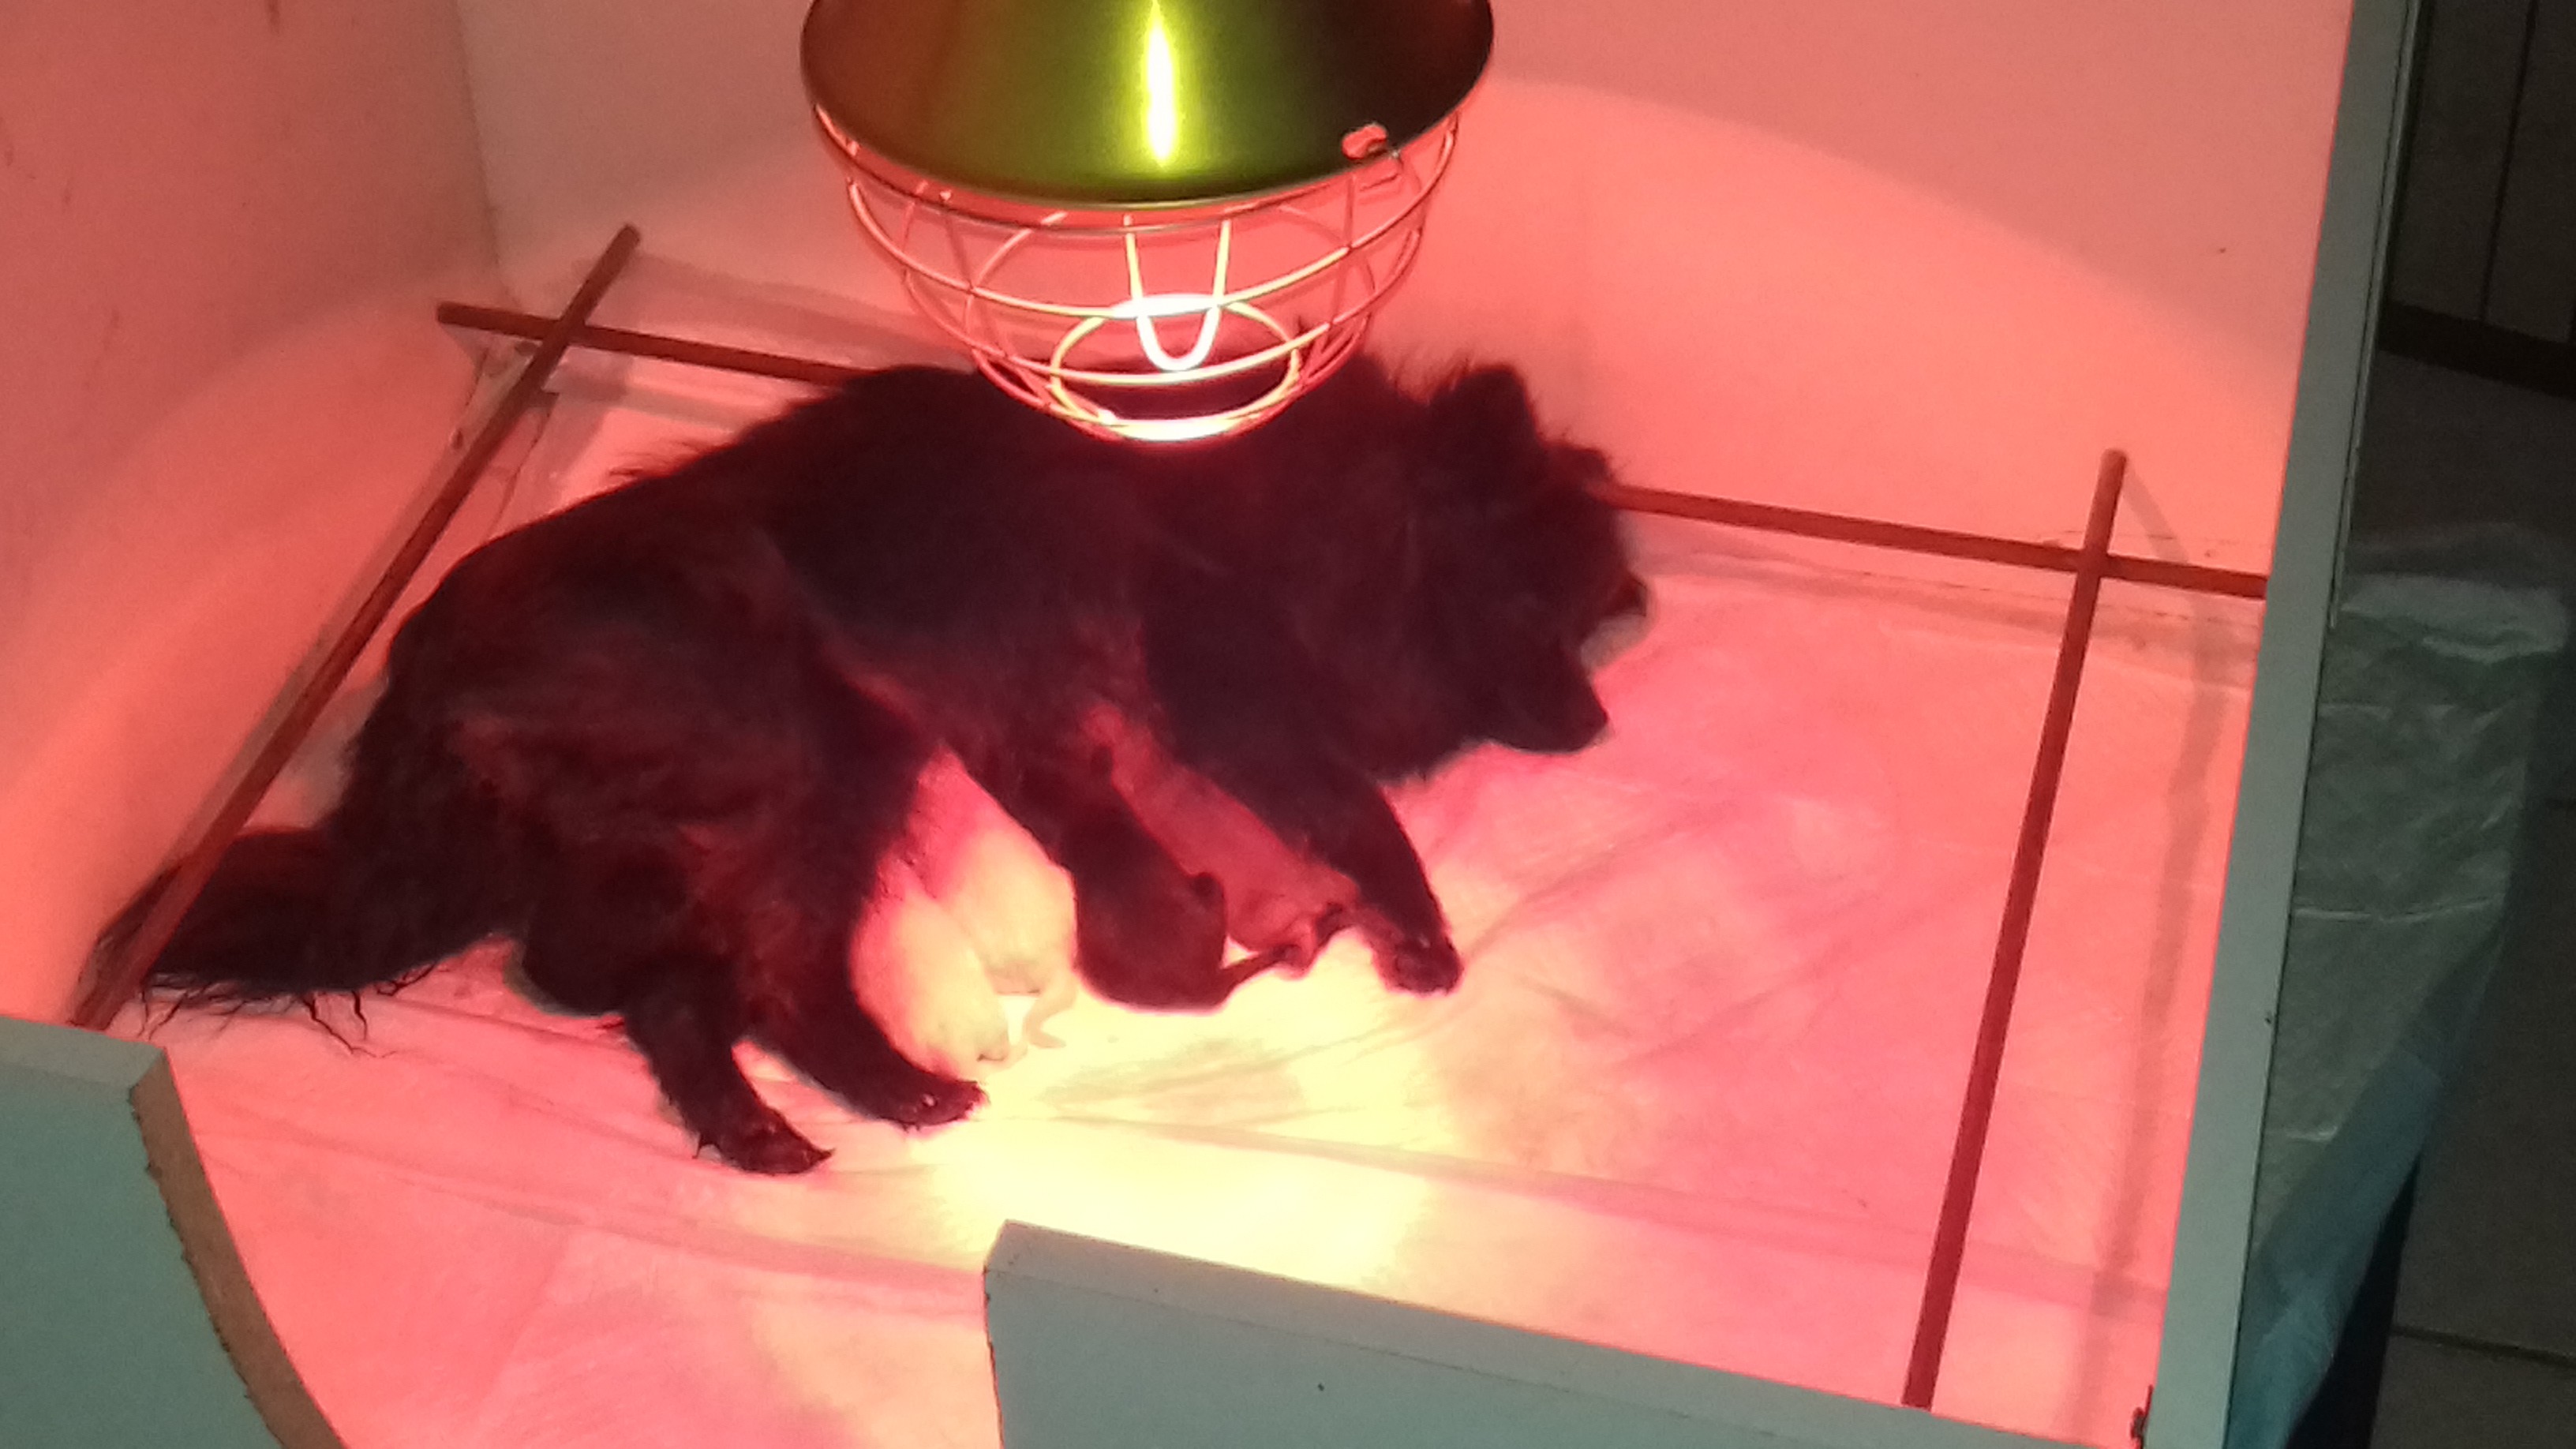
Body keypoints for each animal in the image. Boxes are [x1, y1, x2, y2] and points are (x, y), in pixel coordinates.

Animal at [100, 356, 1644, 1173]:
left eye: (1584, 623)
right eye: (1539, 610)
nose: (1597, 727)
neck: (1303, 513)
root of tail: (417, 692)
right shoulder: (1234, 698)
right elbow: (1356, 809)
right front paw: (1417, 924)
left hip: (748, 816)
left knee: (668, 995)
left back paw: (755, 1128)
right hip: (814, 762)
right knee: (768, 978)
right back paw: (897, 1090)